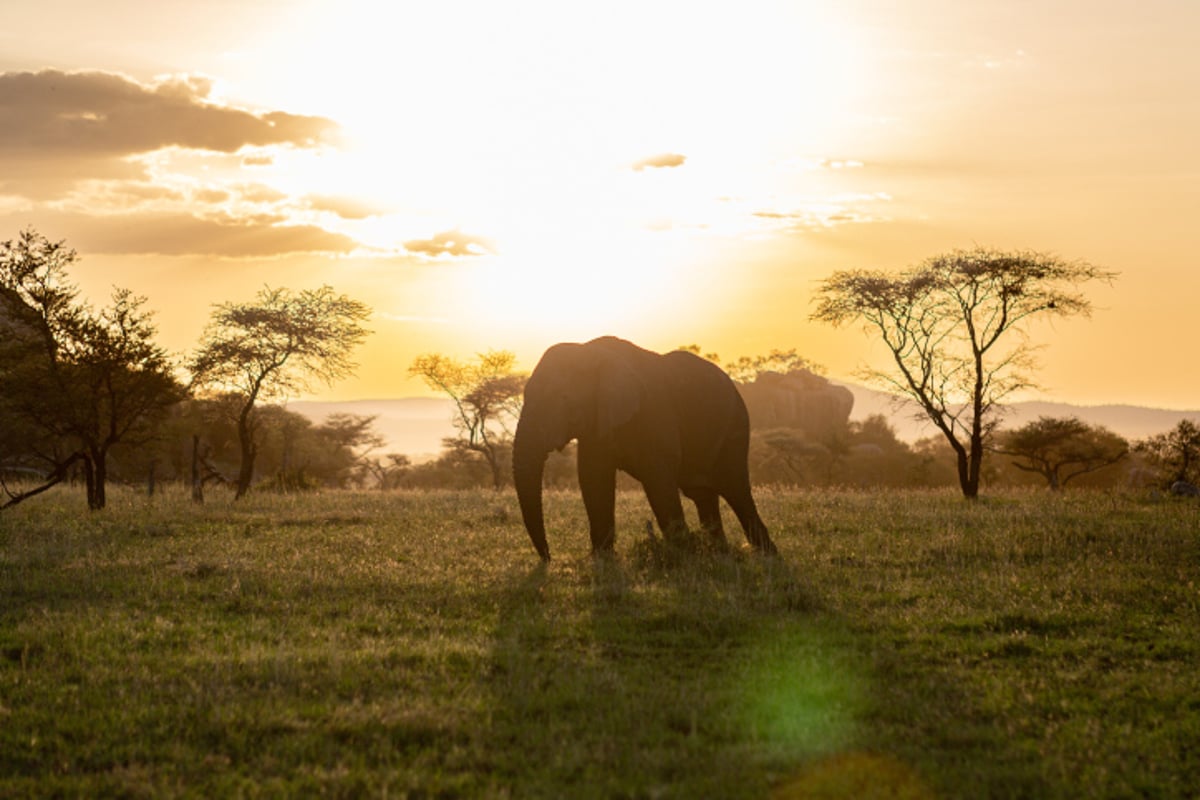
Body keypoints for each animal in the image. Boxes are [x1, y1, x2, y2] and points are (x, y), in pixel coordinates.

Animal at [508, 335, 777, 561]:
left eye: (564, 400)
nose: (548, 558)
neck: (592, 352)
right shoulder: (597, 425)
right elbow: (594, 479)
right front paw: (602, 560)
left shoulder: (655, 412)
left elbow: (658, 480)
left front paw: (682, 557)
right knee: (703, 494)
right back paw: (722, 554)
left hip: (735, 427)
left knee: (735, 490)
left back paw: (767, 556)